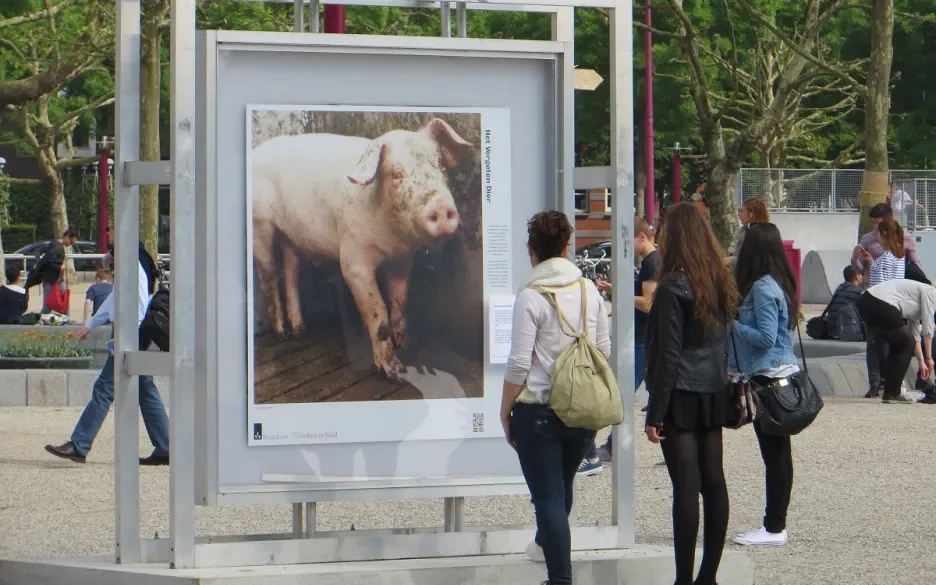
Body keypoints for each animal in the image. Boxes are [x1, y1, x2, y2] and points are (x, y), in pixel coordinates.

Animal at [252, 118, 472, 378]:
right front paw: (395, 373)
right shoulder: (353, 260)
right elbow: (379, 313)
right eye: (397, 174)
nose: (440, 205)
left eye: (440, 167)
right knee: (268, 276)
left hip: (291, 236)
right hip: (259, 224)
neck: (391, 239)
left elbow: (399, 300)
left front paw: (403, 344)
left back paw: (300, 330)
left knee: (290, 272)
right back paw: (282, 334)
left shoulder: (403, 259)